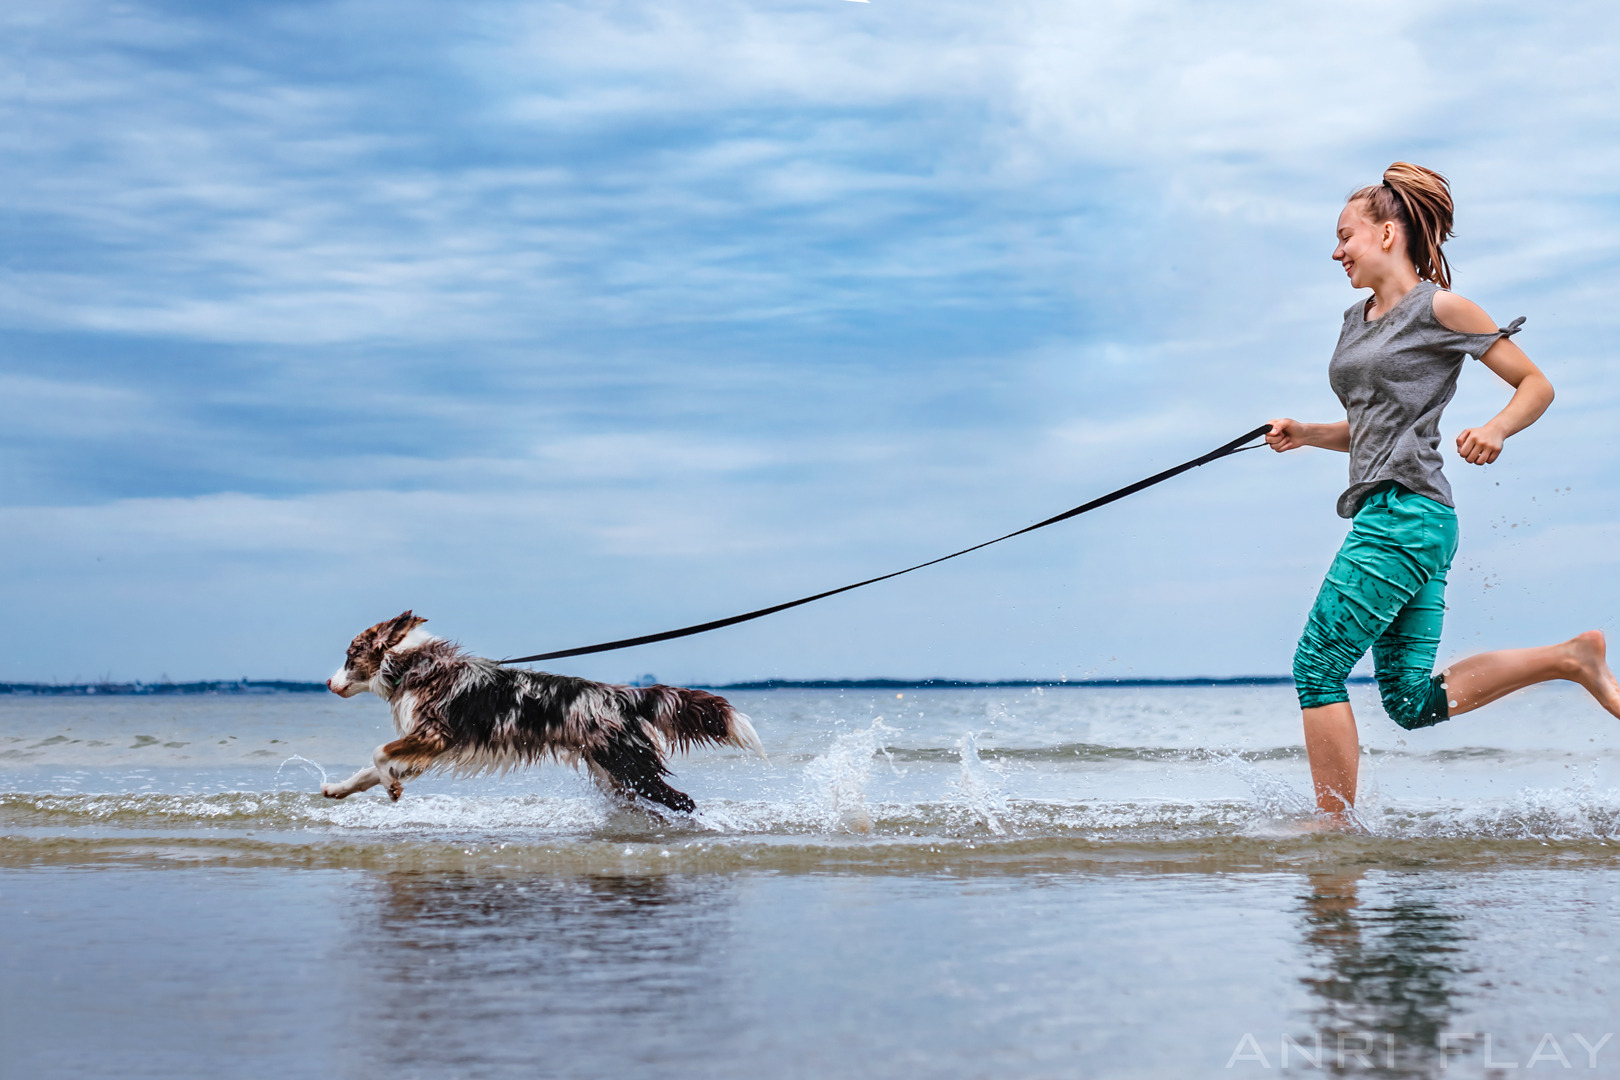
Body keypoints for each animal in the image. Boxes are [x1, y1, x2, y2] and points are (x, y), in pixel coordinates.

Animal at [325, 612, 767, 816]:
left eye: (349, 657)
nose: (328, 682)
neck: (414, 665)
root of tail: (624, 696)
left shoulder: (435, 734)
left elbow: (379, 754)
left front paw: (392, 787)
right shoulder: (425, 747)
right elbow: (370, 768)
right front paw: (338, 789)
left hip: (630, 767)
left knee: (684, 801)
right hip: (617, 775)